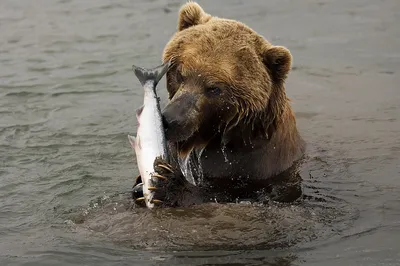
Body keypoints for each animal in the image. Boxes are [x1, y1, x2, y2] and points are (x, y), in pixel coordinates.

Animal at [133, 1, 304, 208]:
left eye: (214, 88)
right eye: (180, 74)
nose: (170, 120)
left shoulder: (256, 166)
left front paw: (166, 183)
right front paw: (140, 186)